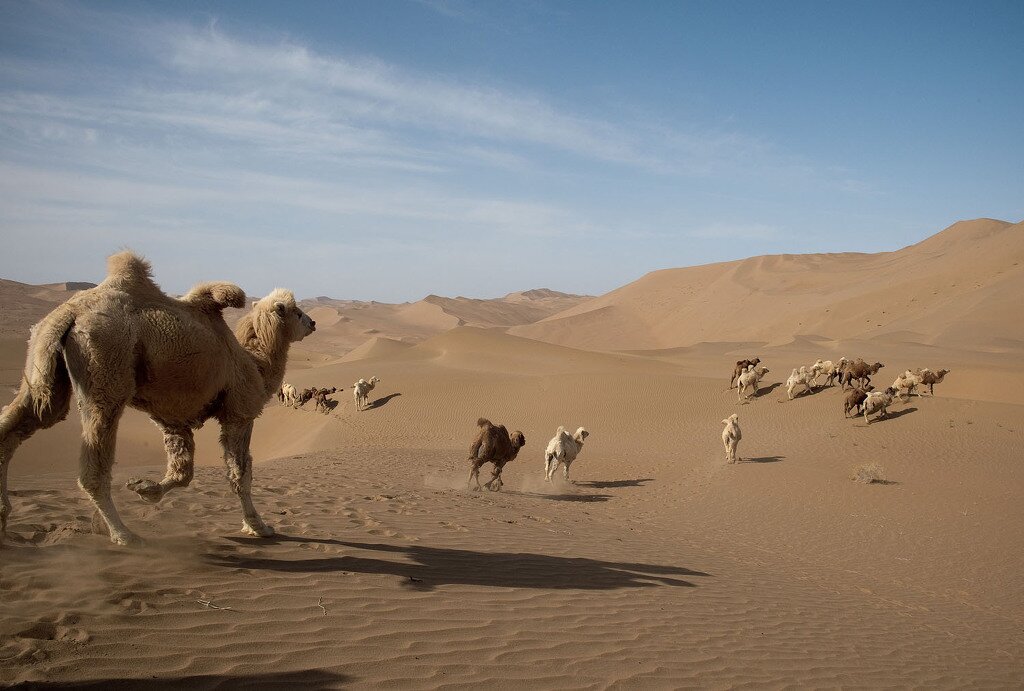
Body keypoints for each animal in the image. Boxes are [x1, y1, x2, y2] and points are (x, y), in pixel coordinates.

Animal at [0, 251, 315, 548]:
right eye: (297, 312)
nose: (312, 322)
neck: (255, 363)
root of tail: (69, 314)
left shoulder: (173, 418)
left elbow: (182, 472)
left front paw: (144, 488)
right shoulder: (239, 413)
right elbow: (240, 474)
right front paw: (258, 526)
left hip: (44, 370)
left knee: (18, 426)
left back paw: (4, 520)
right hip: (106, 371)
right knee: (94, 461)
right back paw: (123, 534)